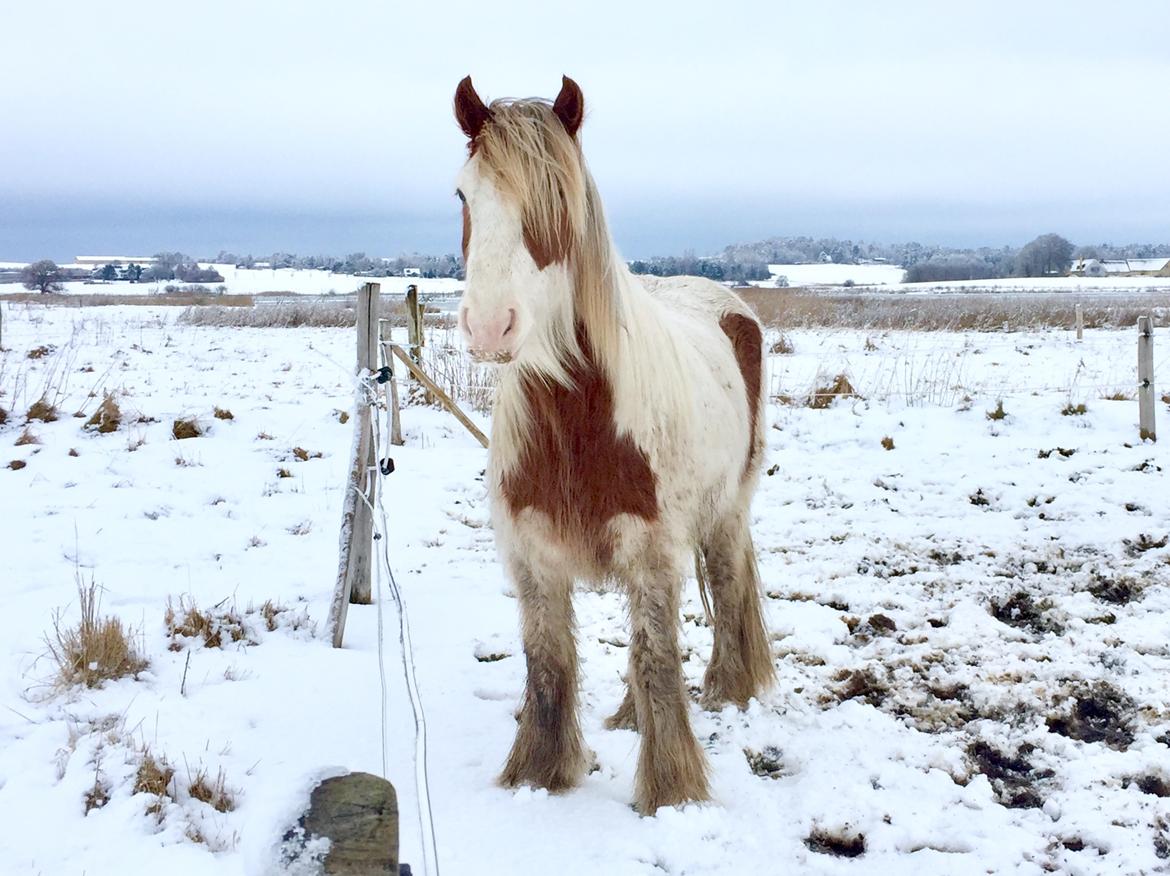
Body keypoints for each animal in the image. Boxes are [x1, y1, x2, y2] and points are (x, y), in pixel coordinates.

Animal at [451, 75, 772, 814]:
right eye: (463, 194)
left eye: (559, 199)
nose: (488, 326)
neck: (577, 419)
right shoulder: (531, 557)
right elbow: (548, 665)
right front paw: (540, 774)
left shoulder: (653, 551)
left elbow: (658, 660)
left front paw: (673, 791)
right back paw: (628, 715)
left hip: (725, 512)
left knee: (728, 585)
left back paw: (728, 688)